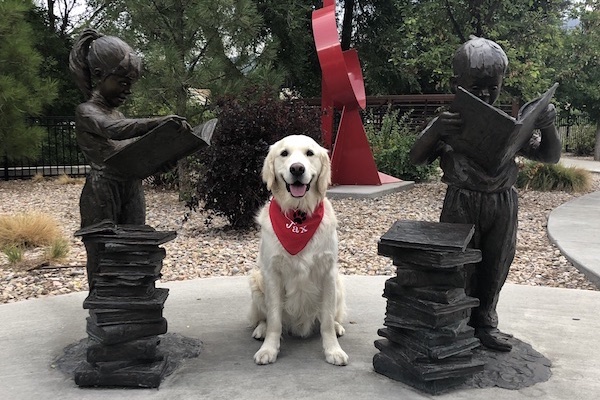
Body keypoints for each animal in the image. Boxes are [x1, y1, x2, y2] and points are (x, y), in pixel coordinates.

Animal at [247, 134, 346, 366]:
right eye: (284, 153)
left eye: (310, 153)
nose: (297, 169)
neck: (298, 215)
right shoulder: (272, 274)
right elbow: (274, 319)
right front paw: (269, 349)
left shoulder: (328, 273)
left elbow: (327, 320)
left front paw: (333, 350)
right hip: (256, 282)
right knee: (264, 317)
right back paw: (261, 330)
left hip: (338, 284)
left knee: (332, 317)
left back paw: (338, 327)